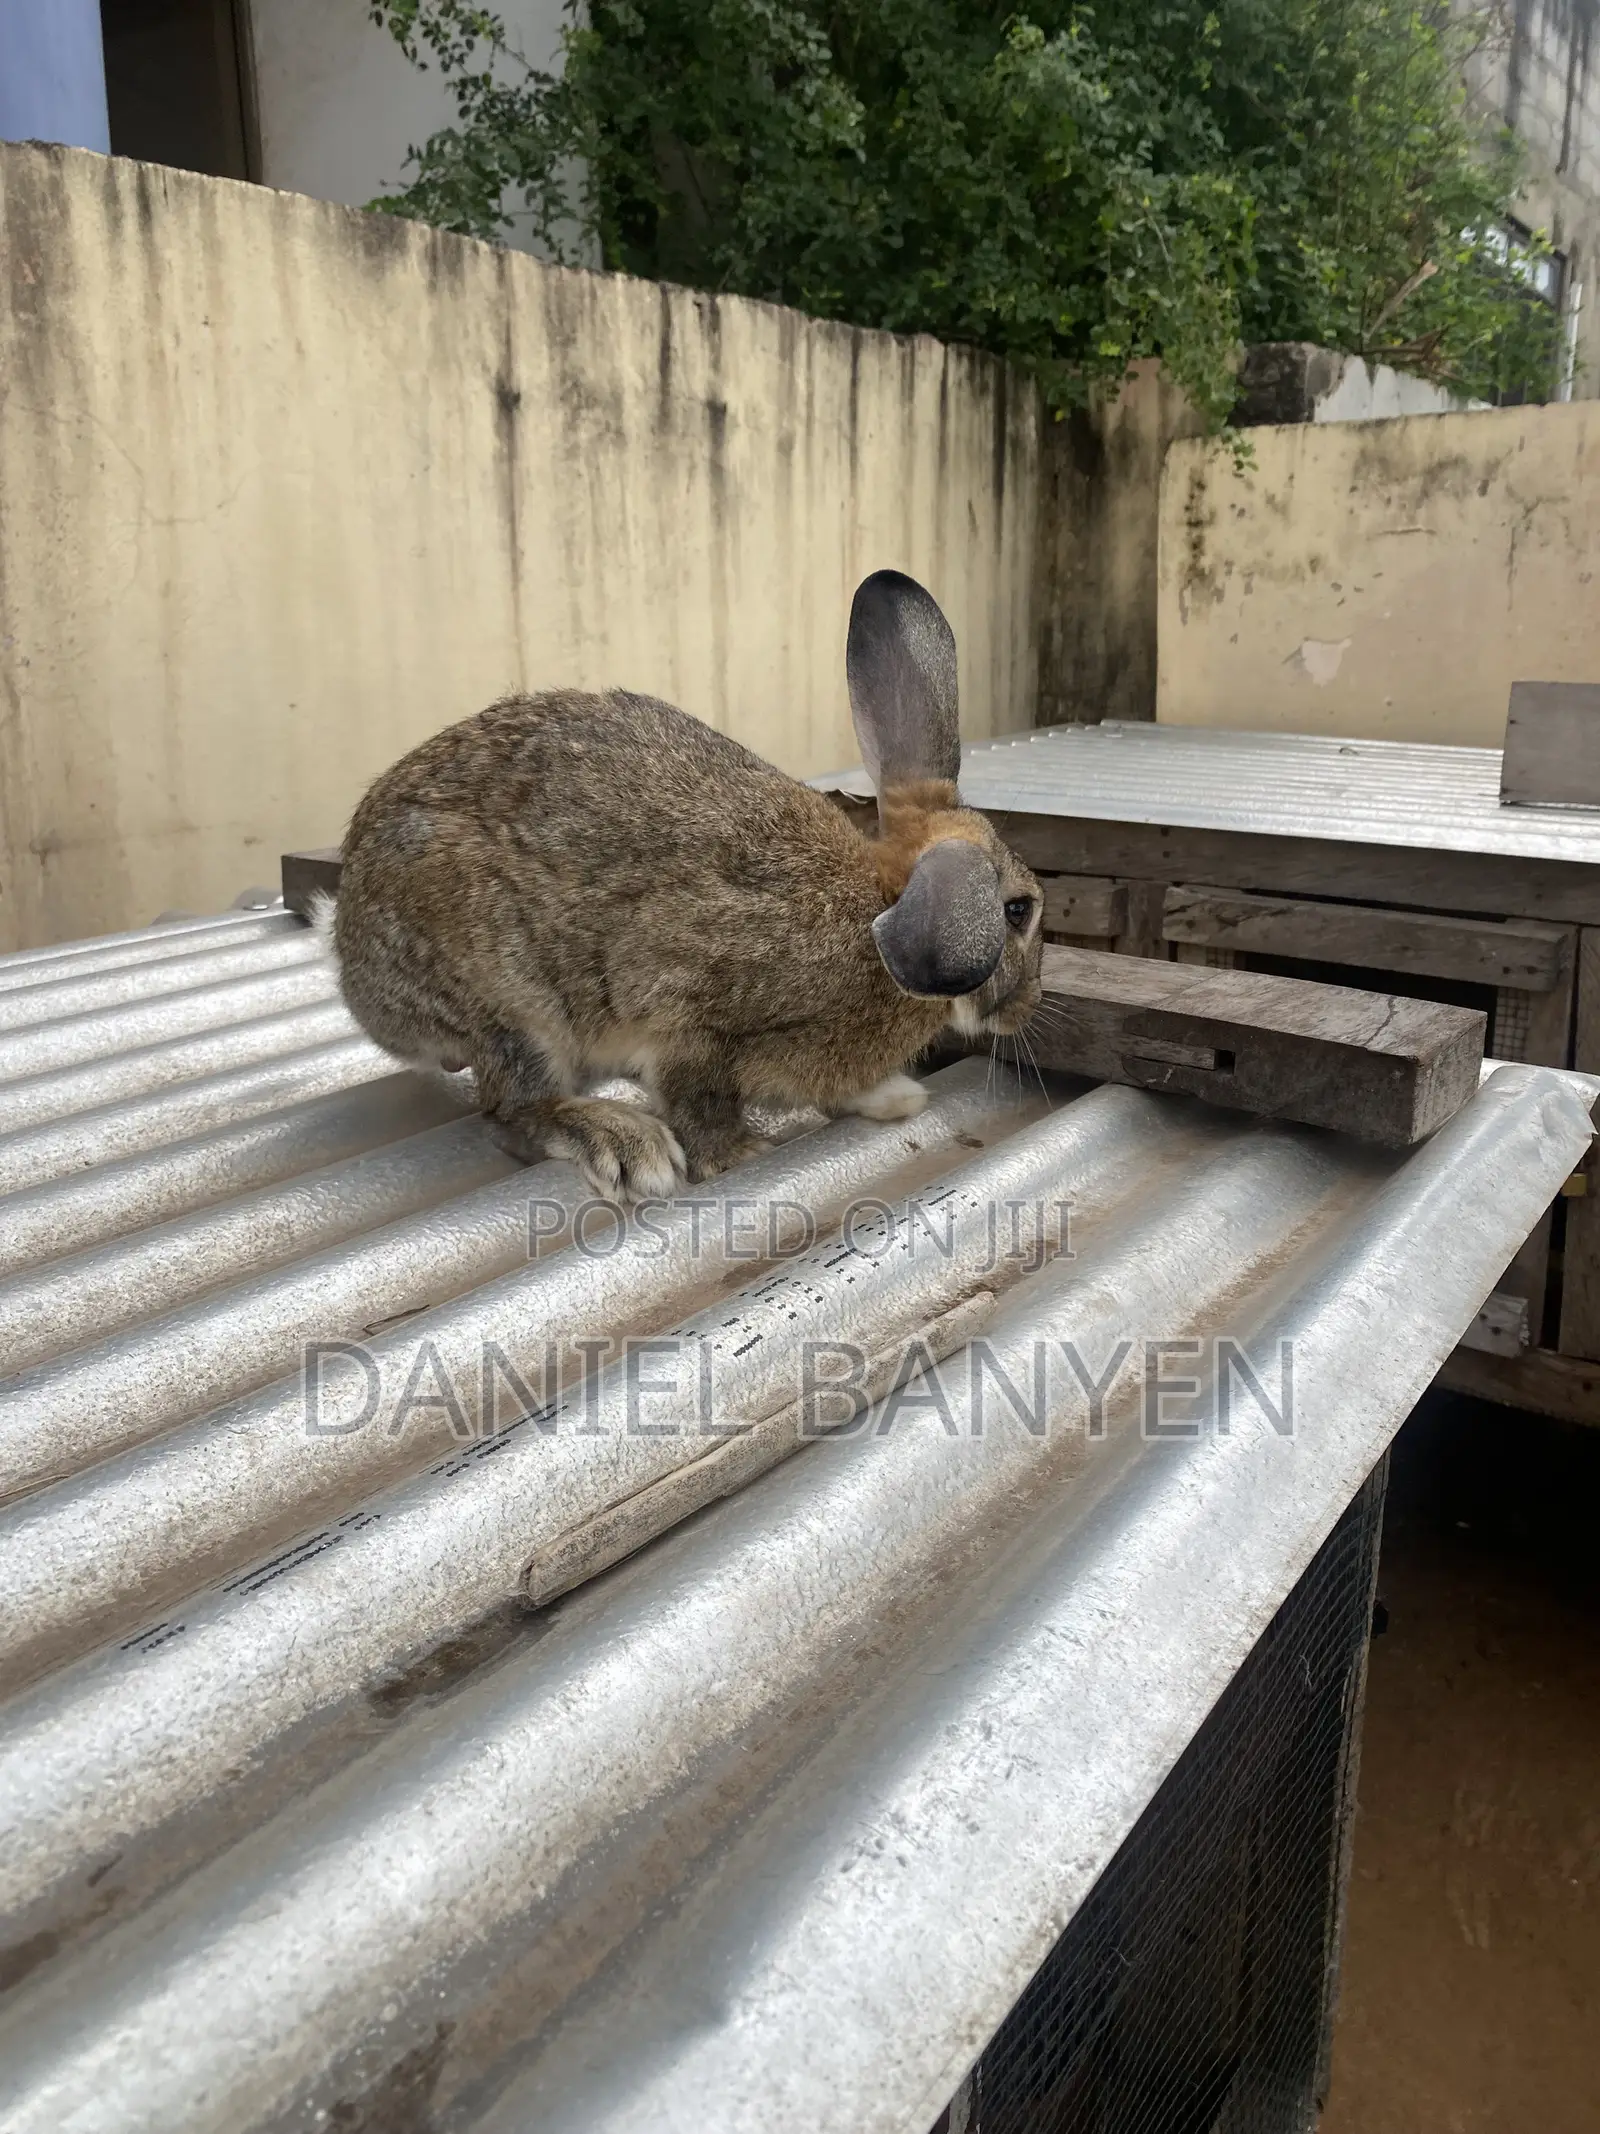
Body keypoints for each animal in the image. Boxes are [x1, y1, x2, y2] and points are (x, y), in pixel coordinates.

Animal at [327, 569, 1044, 1200]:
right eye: (1018, 912)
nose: (1027, 1009)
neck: (878, 911)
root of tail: (359, 982)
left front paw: (895, 1098)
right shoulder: (696, 1019)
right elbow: (698, 1097)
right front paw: (738, 1156)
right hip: (514, 1001)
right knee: (511, 1112)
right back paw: (623, 1142)